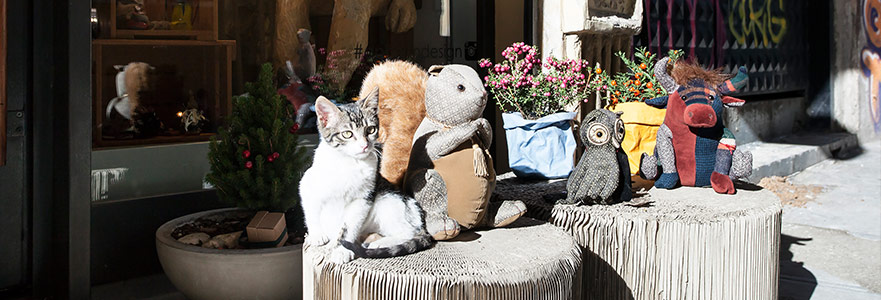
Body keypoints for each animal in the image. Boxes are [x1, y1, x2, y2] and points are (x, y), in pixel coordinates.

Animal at [300, 88, 434, 264]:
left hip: (388, 201)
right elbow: (311, 212)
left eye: (370, 130)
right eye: (347, 134)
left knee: (409, 232)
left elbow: (349, 226)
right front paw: (317, 235)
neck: (349, 163)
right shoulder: (307, 185)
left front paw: (342, 250)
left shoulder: (363, 199)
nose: (364, 145)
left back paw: (378, 243)